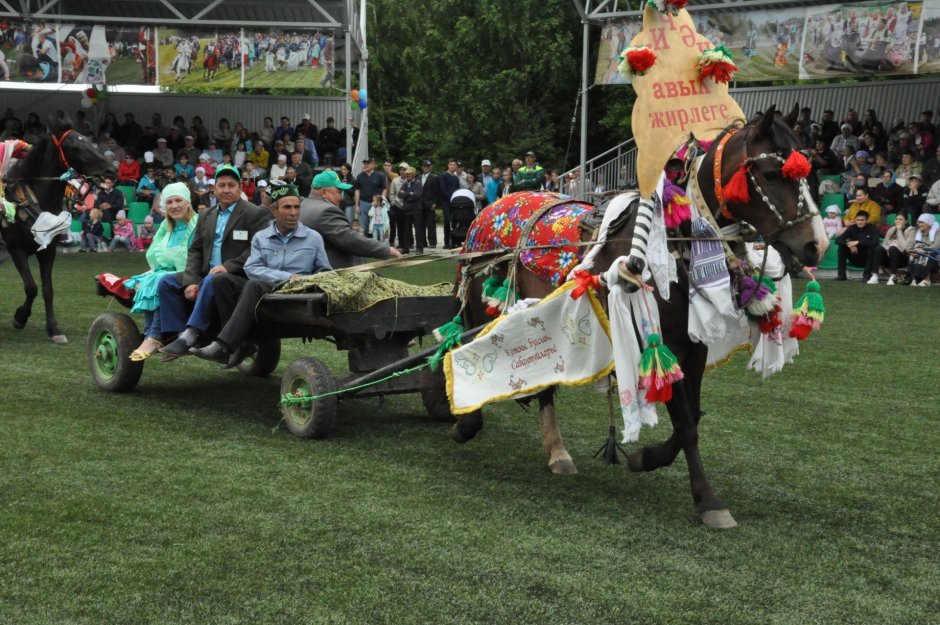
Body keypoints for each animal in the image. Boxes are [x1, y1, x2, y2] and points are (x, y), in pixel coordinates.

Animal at [1, 117, 116, 342]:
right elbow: (31, 287)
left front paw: (54, 329)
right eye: (75, 147)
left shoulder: (49, 251)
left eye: (89, 141)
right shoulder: (15, 249)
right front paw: (20, 318)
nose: (111, 170)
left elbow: (47, 290)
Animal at [430, 1, 828, 528]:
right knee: (467, 347)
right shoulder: (663, 336)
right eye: (770, 172)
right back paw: (473, 423)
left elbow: (691, 419)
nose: (816, 245)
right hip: (486, 303)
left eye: (809, 169)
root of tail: (490, 209)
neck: (676, 241)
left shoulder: (692, 343)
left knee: (543, 383)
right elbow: (685, 419)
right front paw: (709, 499)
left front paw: (646, 459)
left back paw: (556, 451)